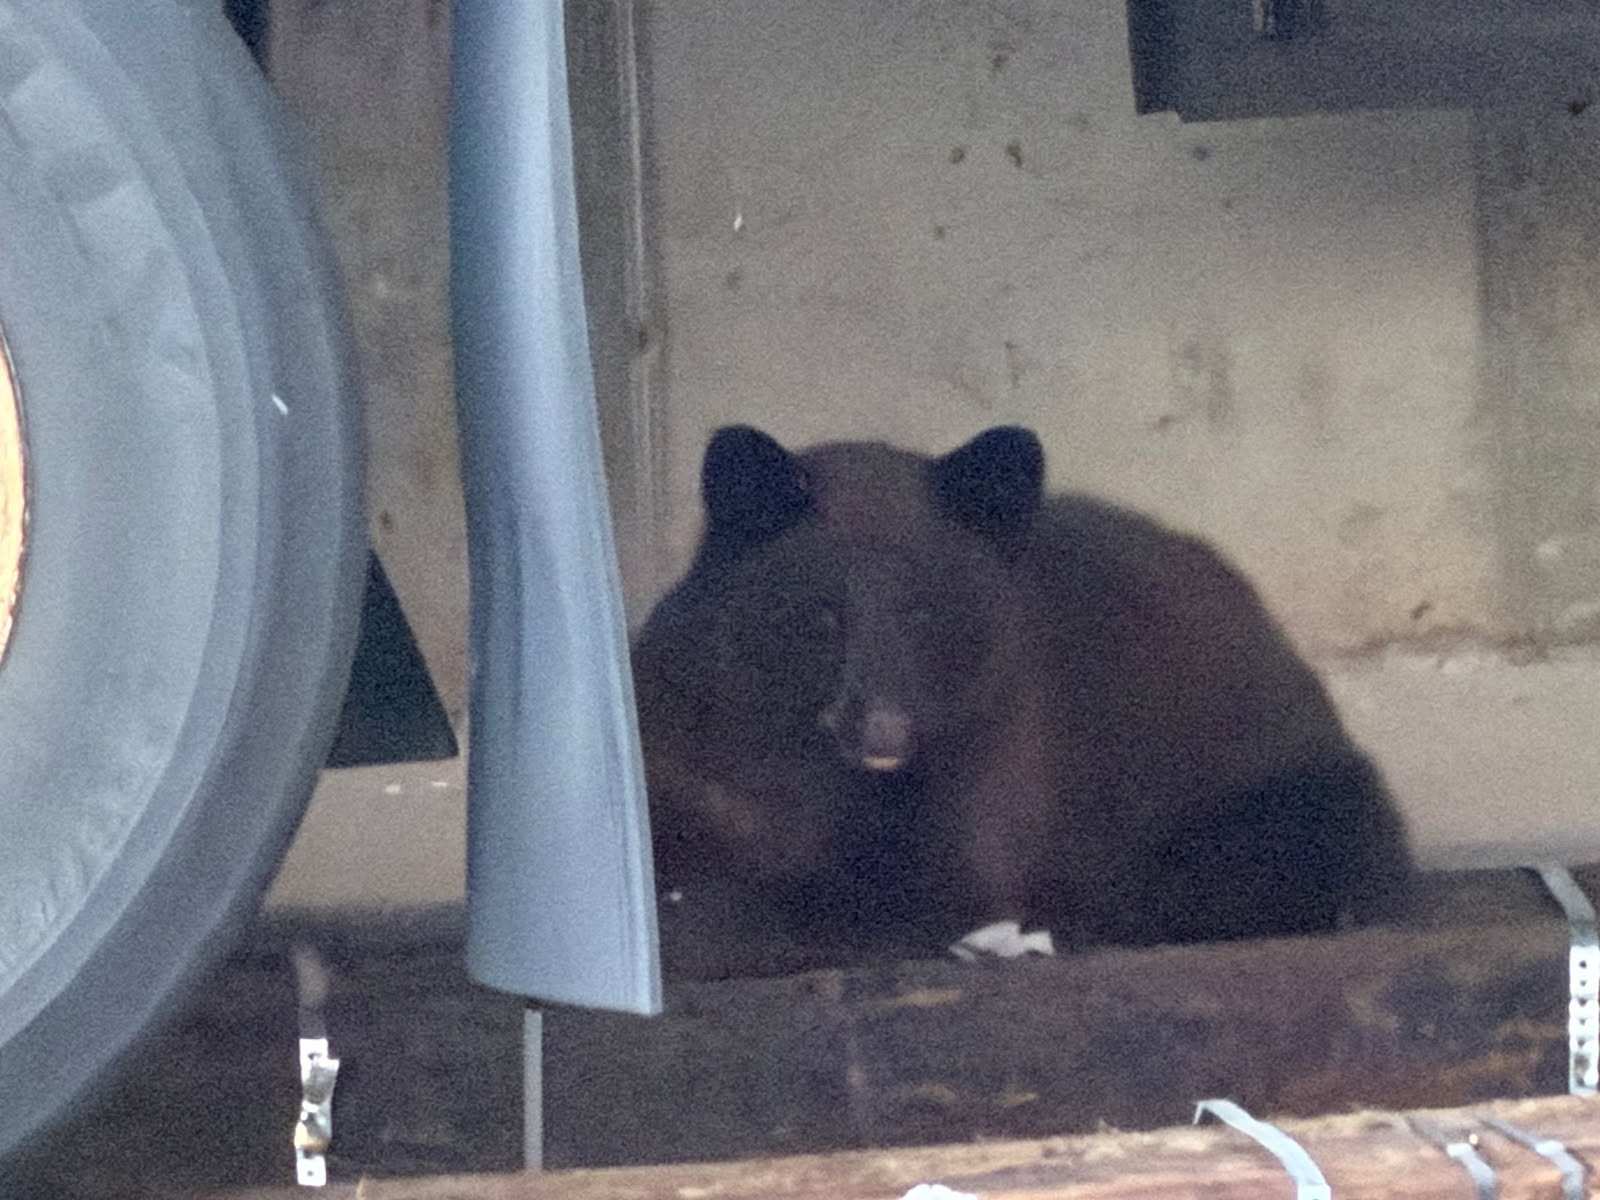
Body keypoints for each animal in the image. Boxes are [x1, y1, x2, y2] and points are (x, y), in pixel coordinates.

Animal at [632, 424, 1413, 980]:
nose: (883, 730)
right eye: (819, 616)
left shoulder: (993, 774)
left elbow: (907, 890)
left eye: (925, 612)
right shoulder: (683, 749)